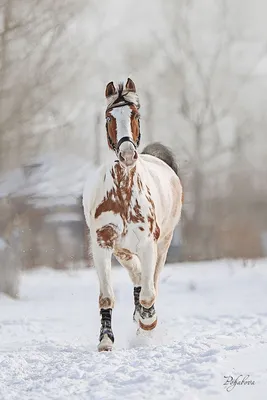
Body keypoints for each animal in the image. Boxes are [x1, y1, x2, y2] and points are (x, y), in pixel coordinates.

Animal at [82, 77, 183, 350]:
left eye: (135, 114)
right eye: (109, 117)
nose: (127, 154)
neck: (124, 191)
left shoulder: (149, 243)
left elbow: (149, 294)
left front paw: (148, 322)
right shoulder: (103, 244)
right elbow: (107, 296)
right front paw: (106, 340)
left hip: (163, 244)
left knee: (151, 282)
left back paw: (144, 321)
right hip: (123, 250)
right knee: (137, 275)